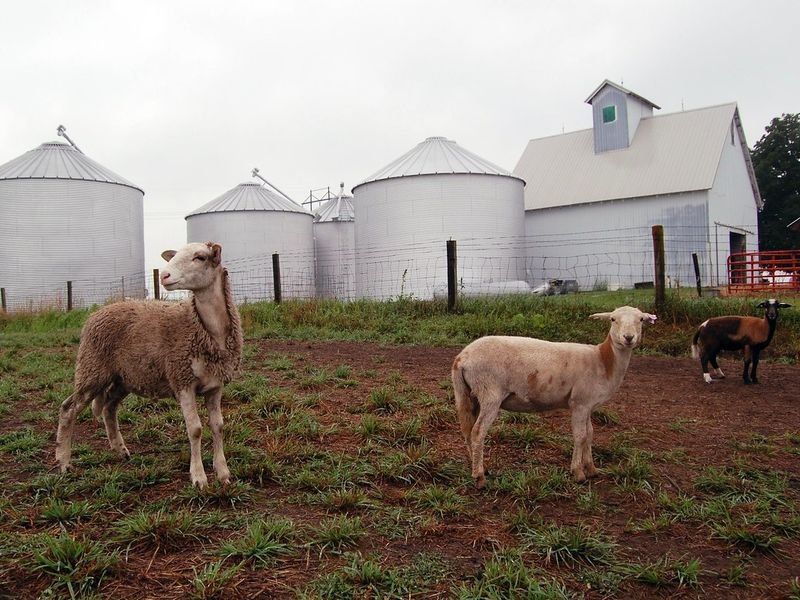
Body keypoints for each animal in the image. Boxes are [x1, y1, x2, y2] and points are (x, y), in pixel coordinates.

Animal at [55, 242, 243, 488]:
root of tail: (99, 311)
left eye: (200, 257)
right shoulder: (182, 379)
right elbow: (195, 429)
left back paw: (120, 450)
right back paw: (64, 462)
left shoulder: (215, 385)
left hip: (123, 378)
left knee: (109, 408)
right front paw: (199, 477)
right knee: (68, 409)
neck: (209, 332)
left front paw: (223, 473)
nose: (164, 275)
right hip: (92, 368)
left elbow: (218, 426)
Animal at [452, 306, 656, 487]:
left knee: (468, 431)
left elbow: (590, 433)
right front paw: (578, 472)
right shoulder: (579, 403)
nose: (628, 338)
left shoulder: (588, 404)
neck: (603, 360)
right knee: (478, 432)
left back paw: (477, 467)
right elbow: (580, 435)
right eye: (613, 319)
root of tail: (461, 358)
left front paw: (591, 469)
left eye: (641, 320)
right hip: (490, 393)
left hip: (470, 394)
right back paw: (479, 477)